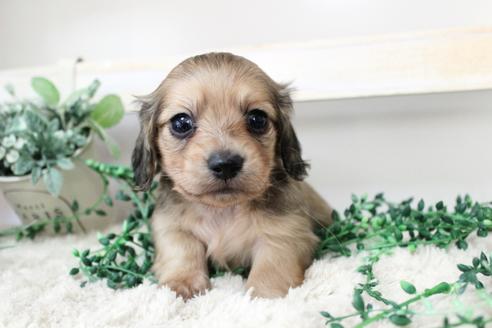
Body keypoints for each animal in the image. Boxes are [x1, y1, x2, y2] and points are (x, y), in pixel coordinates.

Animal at [132, 52, 330, 300]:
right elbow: (182, 250)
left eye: (257, 119)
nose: (225, 164)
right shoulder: (171, 227)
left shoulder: (286, 233)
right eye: (181, 123)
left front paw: (264, 297)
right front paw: (181, 284)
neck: (223, 212)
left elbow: (271, 267)